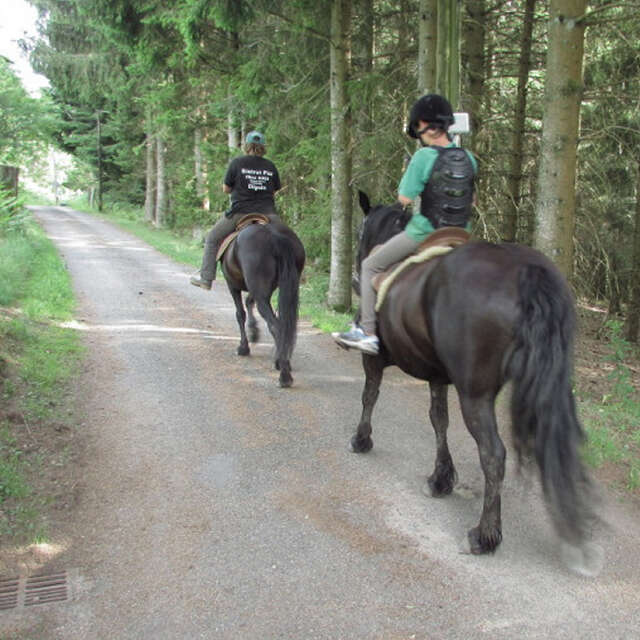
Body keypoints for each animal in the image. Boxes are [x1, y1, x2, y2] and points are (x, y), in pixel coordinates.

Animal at [222, 220, 304, 388]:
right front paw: (254, 332)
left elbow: (240, 314)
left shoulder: (232, 285)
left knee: (276, 326)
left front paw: (243, 348)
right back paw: (283, 363)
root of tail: (274, 235)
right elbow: (248, 302)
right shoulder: (259, 290)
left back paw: (284, 375)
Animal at [348, 192, 596, 572]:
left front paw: (361, 439)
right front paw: (440, 479)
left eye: (361, 230)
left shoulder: (374, 359)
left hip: (475, 394)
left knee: (493, 454)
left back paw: (484, 535)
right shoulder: (437, 374)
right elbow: (438, 420)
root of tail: (526, 272)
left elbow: (369, 395)